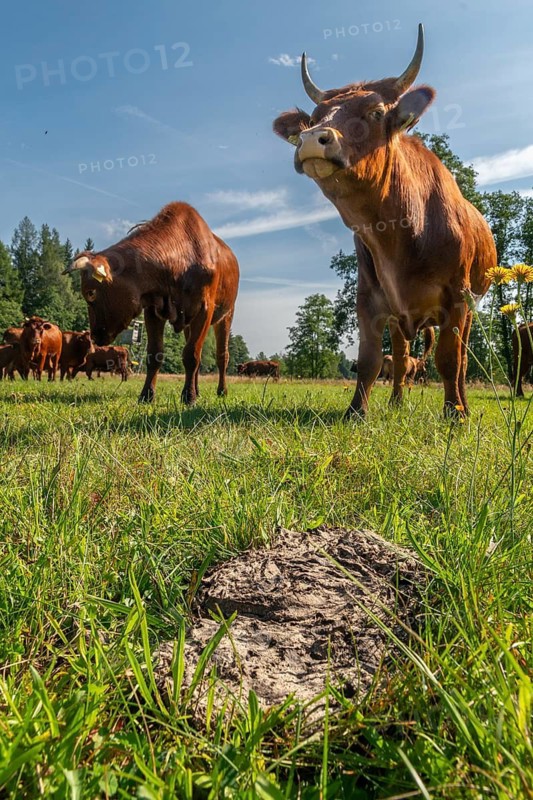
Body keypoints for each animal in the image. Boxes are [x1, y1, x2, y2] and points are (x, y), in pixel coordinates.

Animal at [63, 202, 240, 405]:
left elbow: (191, 354)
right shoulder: (153, 309)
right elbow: (155, 354)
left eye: (90, 293)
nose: (95, 335)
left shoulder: (204, 309)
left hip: (227, 314)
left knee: (222, 356)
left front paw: (188, 397)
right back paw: (197, 389)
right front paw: (147, 394)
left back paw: (221, 391)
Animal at [273, 25, 496, 418]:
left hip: (472, 306)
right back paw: (395, 402)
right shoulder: (370, 298)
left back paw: (463, 405)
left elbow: (449, 360)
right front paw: (356, 412)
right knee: (403, 358)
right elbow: (371, 360)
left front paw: (454, 414)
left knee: (463, 359)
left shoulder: (457, 297)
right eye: (313, 119)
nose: (312, 139)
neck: (399, 235)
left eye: (376, 112)